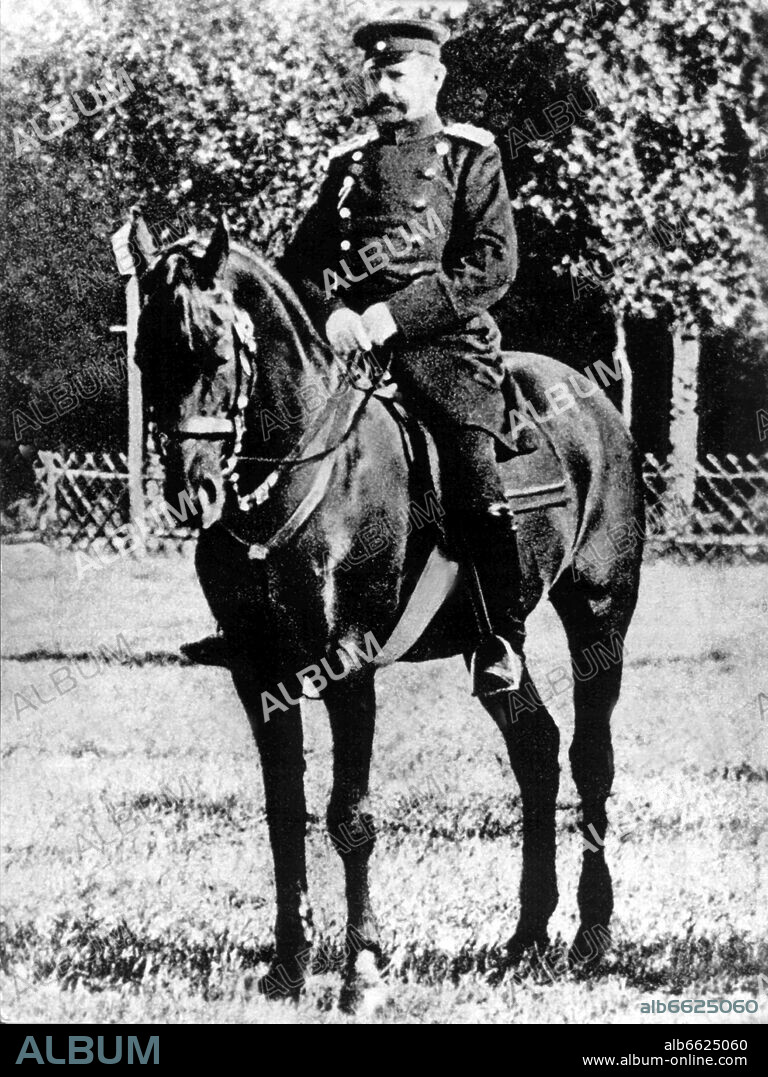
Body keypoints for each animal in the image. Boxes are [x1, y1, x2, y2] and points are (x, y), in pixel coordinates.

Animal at [131, 216, 641, 1008]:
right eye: (142, 352)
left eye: (212, 348)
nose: (194, 491)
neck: (309, 470)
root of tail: (592, 401)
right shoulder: (260, 678)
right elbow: (284, 814)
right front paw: (288, 964)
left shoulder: (349, 669)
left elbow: (350, 816)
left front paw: (361, 968)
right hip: (493, 643)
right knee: (536, 750)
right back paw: (527, 937)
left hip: (599, 614)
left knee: (591, 758)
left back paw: (592, 936)